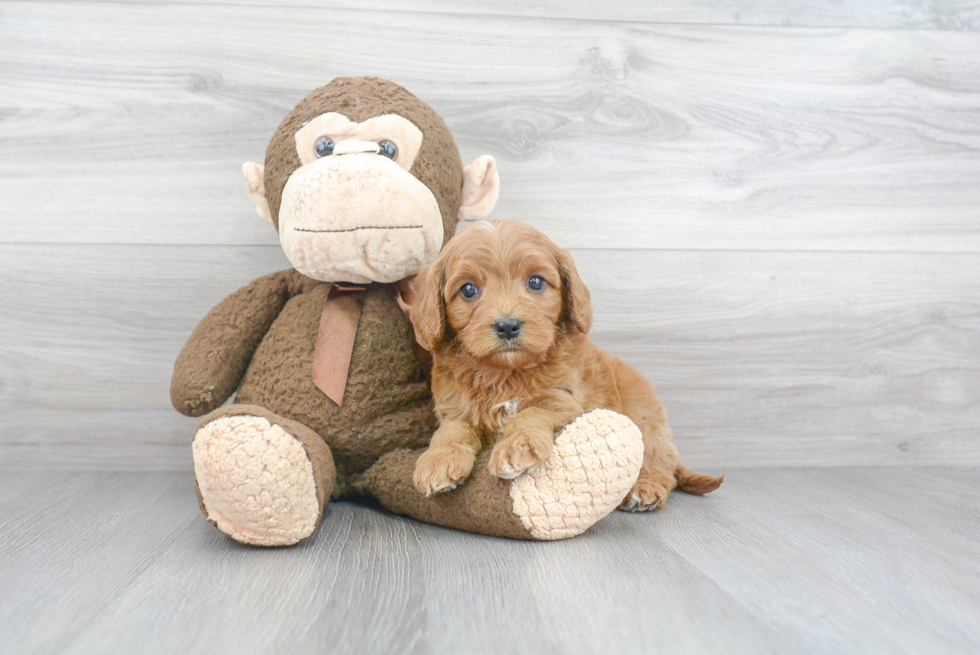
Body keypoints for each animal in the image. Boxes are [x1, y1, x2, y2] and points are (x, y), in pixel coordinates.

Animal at [406, 218, 720, 510]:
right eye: (468, 289)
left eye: (535, 282)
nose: (507, 326)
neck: (505, 374)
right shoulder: (454, 408)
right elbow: (452, 430)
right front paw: (438, 461)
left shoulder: (564, 401)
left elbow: (531, 413)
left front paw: (517, 447)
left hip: (645, 418)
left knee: (660, 463)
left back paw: (645, 488)